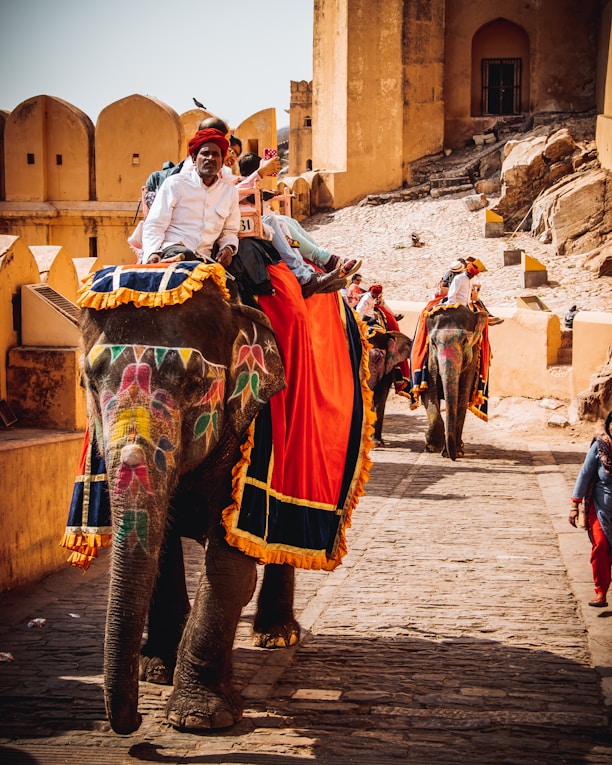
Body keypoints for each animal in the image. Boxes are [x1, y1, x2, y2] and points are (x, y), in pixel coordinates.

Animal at [419, 304, 487, 460]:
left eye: (464, 341)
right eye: (433, 342)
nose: (452, 457)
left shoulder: (472, 357)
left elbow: (462, 396)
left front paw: (455, 452)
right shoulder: (429, 357)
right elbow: (429, 393)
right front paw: (431, 446)